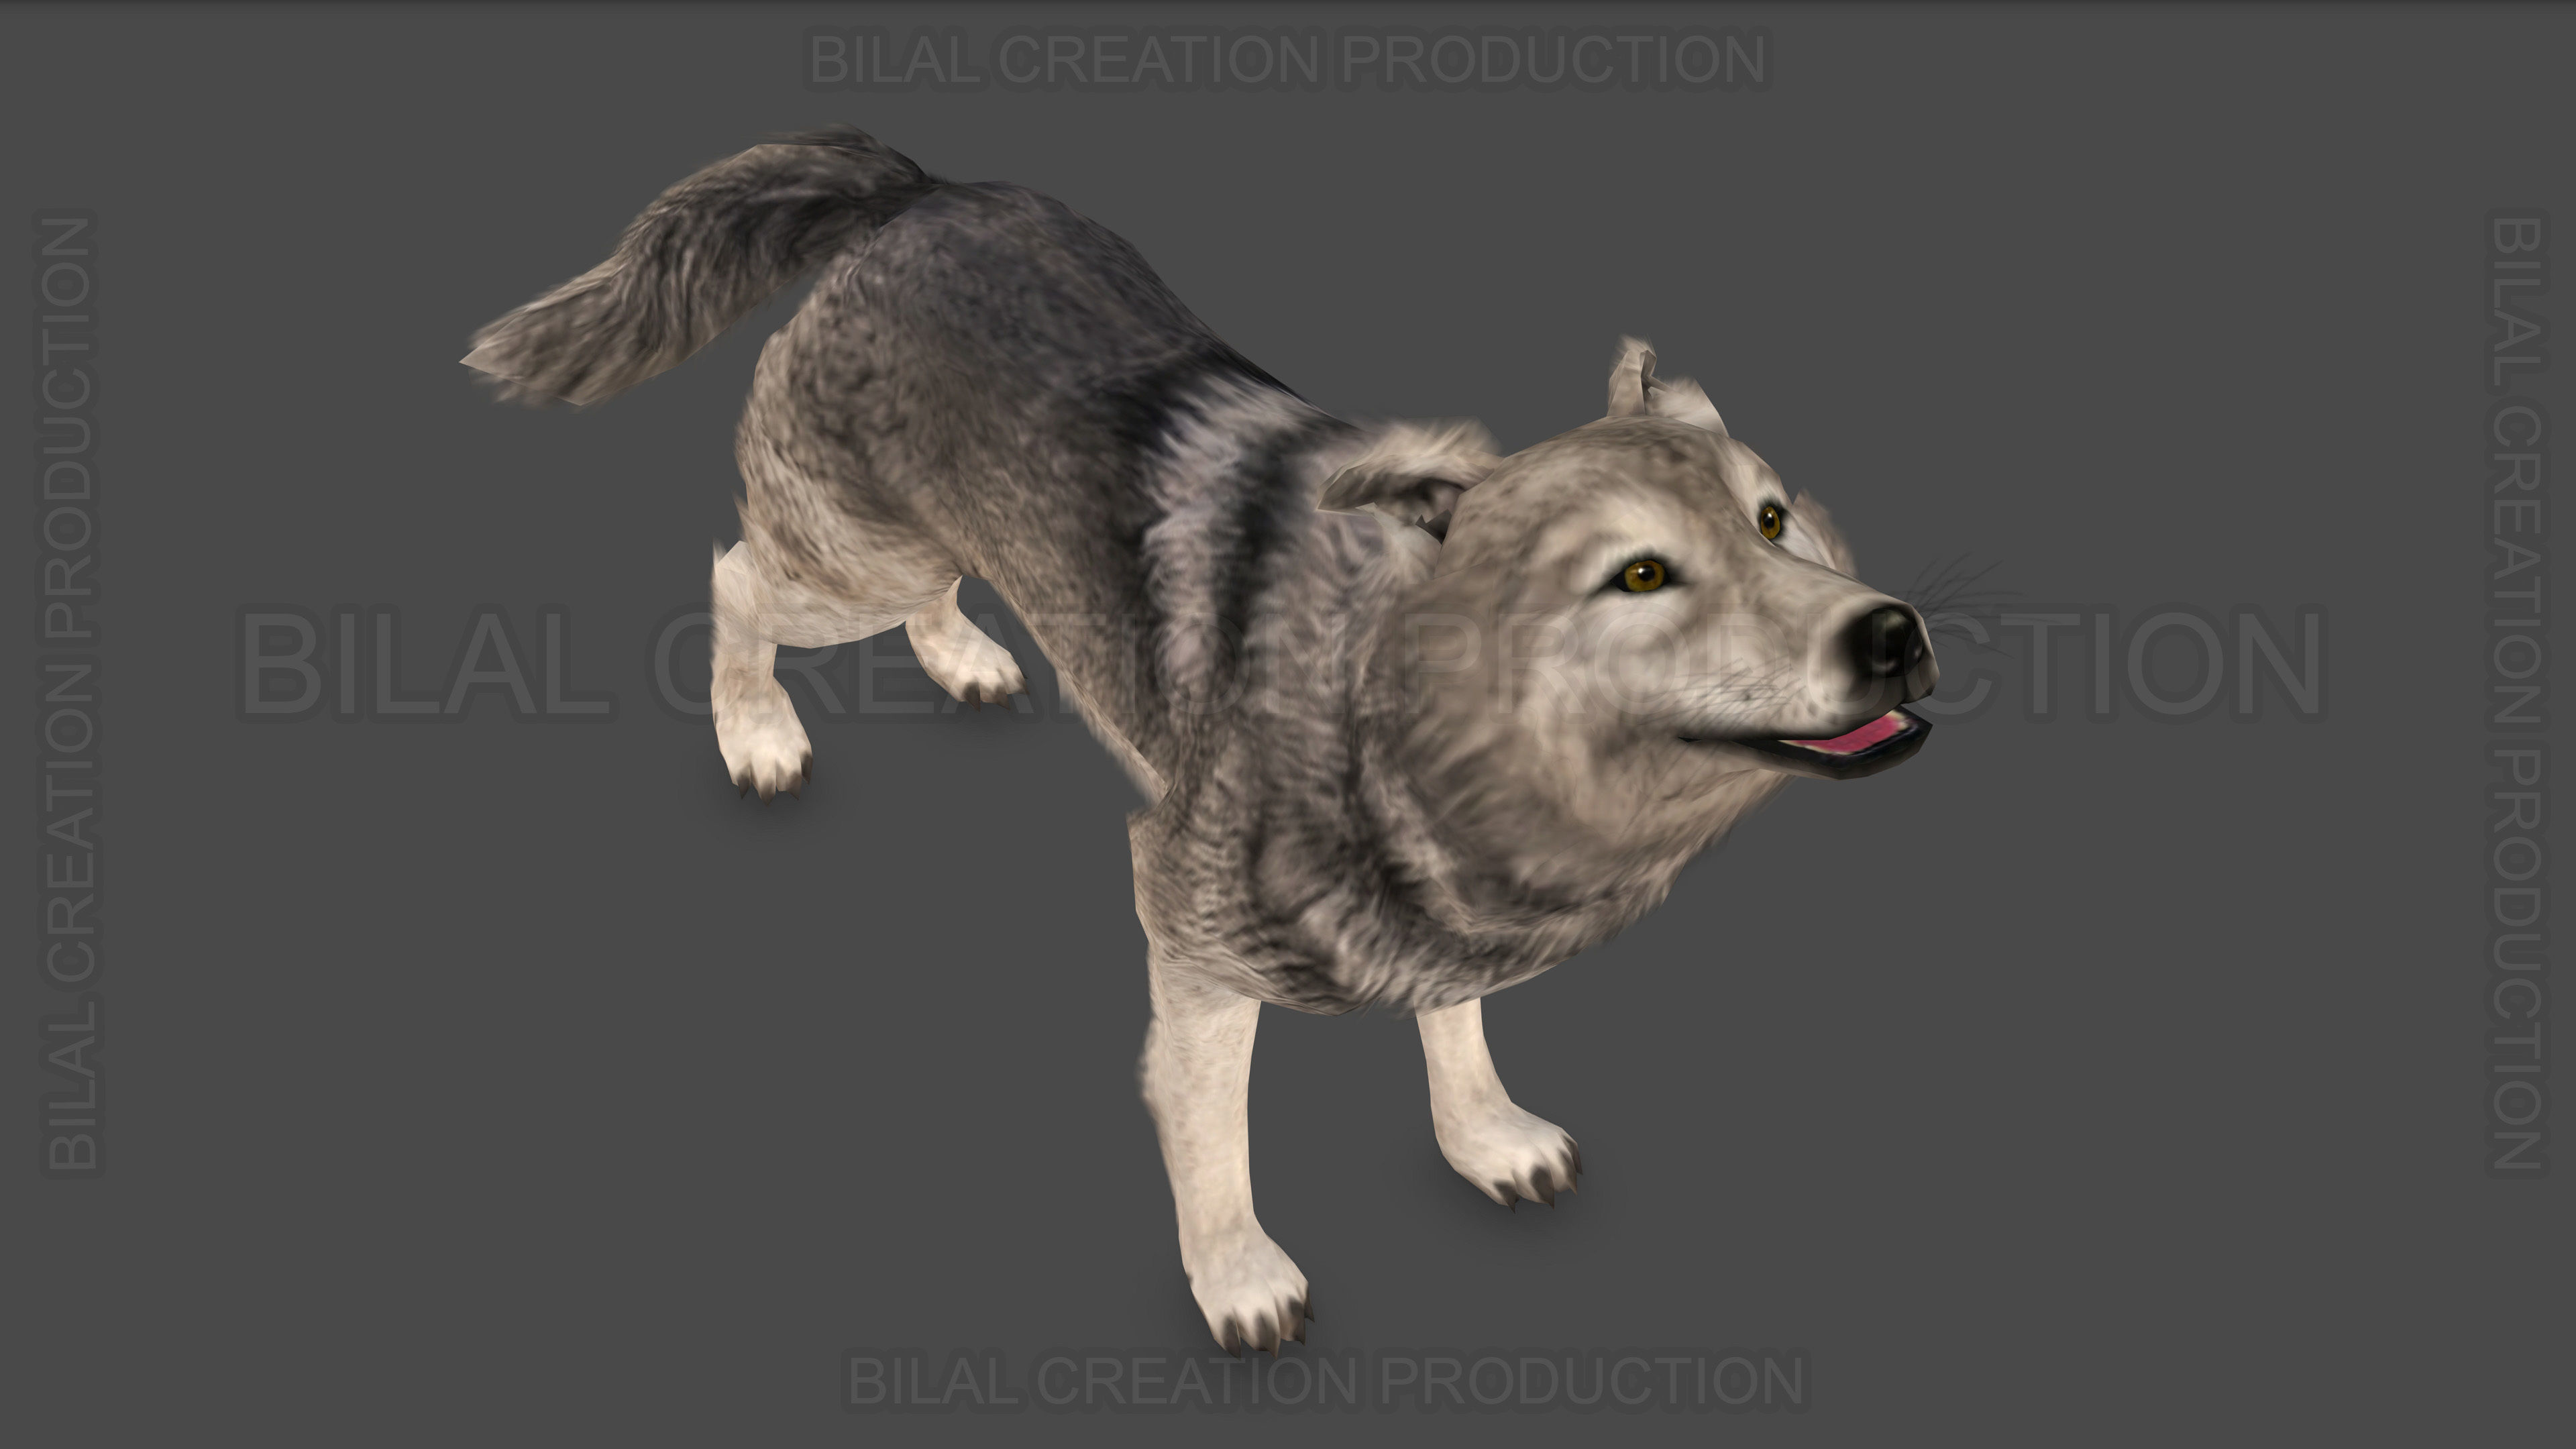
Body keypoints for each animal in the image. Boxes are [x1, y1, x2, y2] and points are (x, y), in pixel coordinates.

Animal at [465, 126, 1937, 1355]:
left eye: (1771, 521)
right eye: (1640, 575)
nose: (1895, 633)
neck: (1389, 710)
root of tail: (918, 190)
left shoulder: (1438, 914)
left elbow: (1454, 1024)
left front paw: (1484, 1137)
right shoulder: (1192, 946)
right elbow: (1212, 1132)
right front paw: (1238, 1279)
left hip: (941, 539)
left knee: (925, 584)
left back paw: (964, 658)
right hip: (855, 569)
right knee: (731, 578)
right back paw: (756, 730)